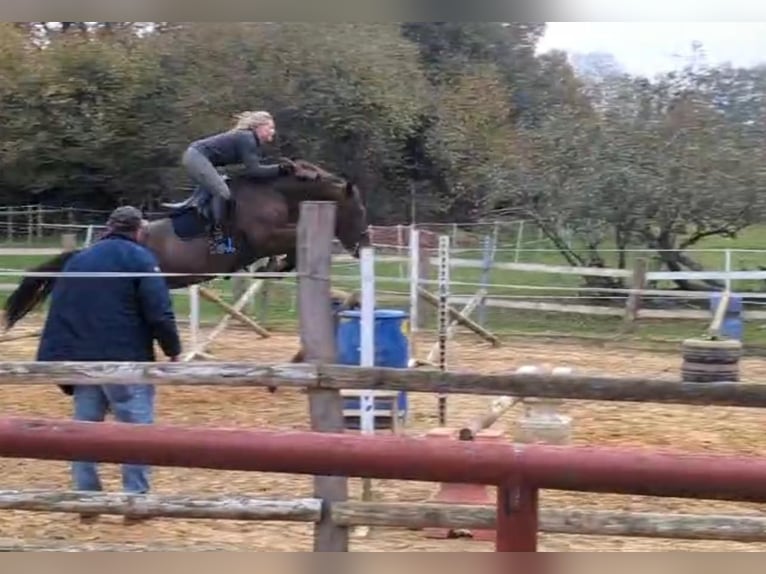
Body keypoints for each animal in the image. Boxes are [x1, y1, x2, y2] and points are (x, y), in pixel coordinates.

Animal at [2, 160, 368, 330]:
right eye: (358, 210)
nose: (363, 243)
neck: (275, 192)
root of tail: (86, 251)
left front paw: (273, 267)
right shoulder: (265, 236)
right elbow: (291, 243)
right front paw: (275, 266)